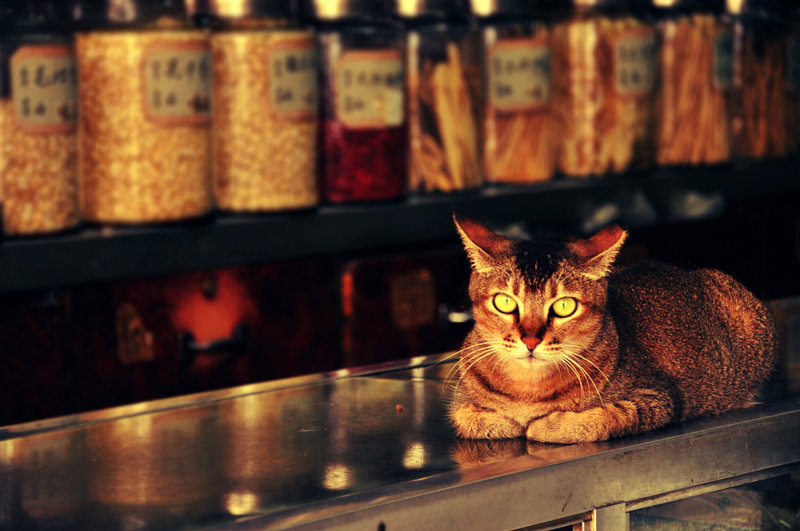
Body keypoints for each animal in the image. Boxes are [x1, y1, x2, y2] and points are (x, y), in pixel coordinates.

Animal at [454, 214, 780, 442]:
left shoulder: (660, 397)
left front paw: (546, 424)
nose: (530, 340)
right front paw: (506, 421)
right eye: (505, 302)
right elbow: (466, 416)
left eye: (564, 306)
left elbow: (606, 418)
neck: (527, 389)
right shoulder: (462, 398)